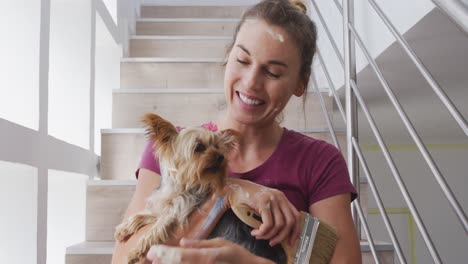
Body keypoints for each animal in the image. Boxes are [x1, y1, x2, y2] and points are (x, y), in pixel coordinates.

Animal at [113, 113, 238, 264]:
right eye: (199, 147)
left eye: (217, 146)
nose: (221, 156)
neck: (181, 186)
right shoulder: (162, 209)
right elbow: (141, 215)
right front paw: (123, 229)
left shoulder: (176, 212)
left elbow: (155, 230)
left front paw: (136, 253)